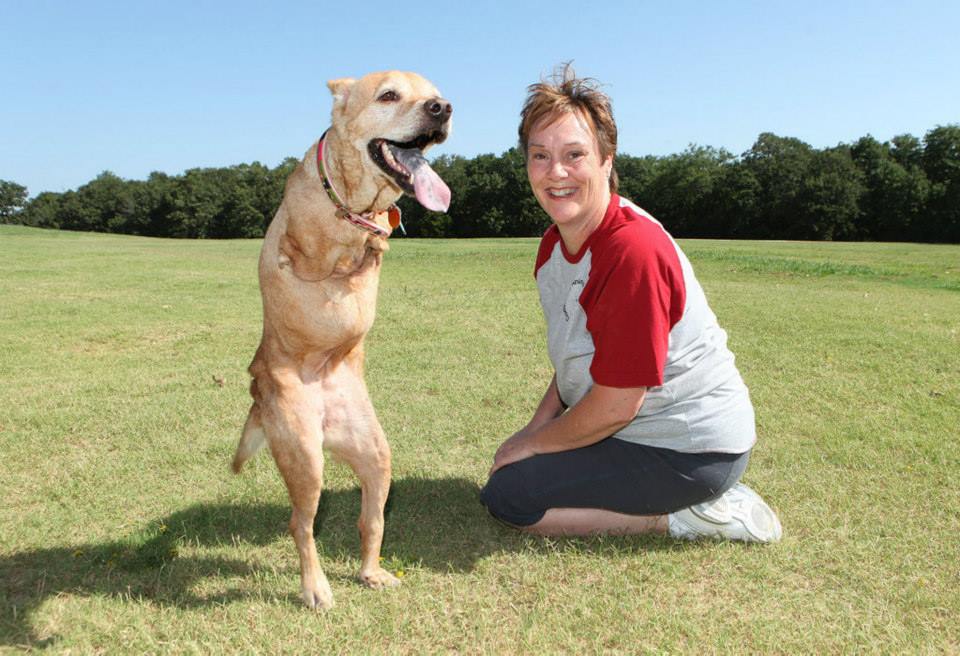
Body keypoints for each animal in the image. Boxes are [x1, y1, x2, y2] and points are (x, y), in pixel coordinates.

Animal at [234, 69, 456, 608]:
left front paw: (373, 241)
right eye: (389, 95)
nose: (442, 108)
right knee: (301, 525)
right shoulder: (302, 249)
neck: (354, 199)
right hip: (305, 458)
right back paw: (315, 588)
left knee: (369, 521)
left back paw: (372, 572)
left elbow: (374, 243)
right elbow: (318, 255)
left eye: (433, 93)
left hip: (376, 456)